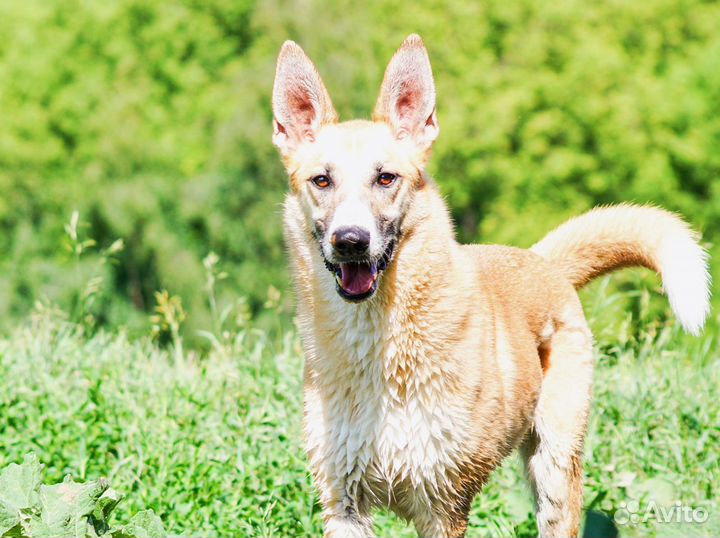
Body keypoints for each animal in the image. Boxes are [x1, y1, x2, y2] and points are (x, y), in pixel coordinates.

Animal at [268, 34, 708, 536]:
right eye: (322, 180)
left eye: (385, 178)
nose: (350, 241)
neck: (379, 348)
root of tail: (542, 261)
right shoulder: (344, 503)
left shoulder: (443, 506)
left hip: (555, 470)